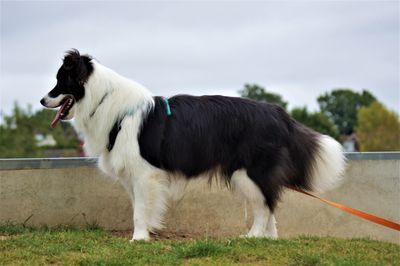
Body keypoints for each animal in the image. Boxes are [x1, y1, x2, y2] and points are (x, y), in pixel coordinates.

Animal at [41, 50, 346, 241]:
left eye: (60, 81)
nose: (43, 100)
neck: (105, 101)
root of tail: (278, 113)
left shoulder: (145, 174)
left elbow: (139, 211)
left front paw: (138, 239)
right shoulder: (133, 177)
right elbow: (140, 208)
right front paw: (147, 233)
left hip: (250, 173)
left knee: (264, 207)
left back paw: (252, 236)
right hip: (247, 176)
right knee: (269, 205)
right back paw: (267, 239)